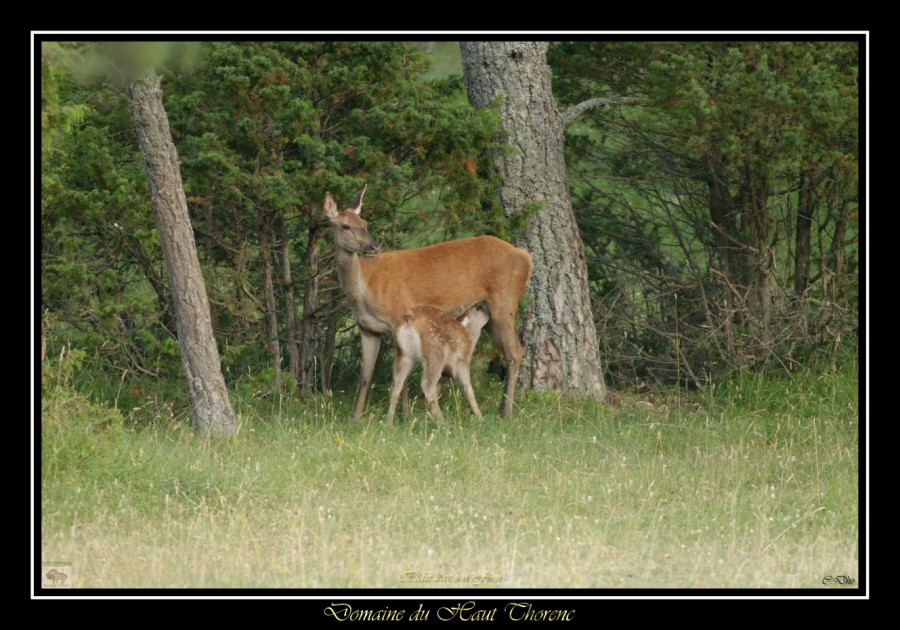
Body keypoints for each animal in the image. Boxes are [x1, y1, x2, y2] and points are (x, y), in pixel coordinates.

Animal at [326, 185, 532, 422]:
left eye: (365, 224)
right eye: (346, 226)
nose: (373, 246)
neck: (364, 291)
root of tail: (526, 257)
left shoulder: (397, 317)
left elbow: (402, 378)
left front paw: (404, 416)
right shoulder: (368, 328)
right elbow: (365, 376)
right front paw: (355, 418)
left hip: (505, 303)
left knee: (515, 352)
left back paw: (505, 412)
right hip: (488, 314)